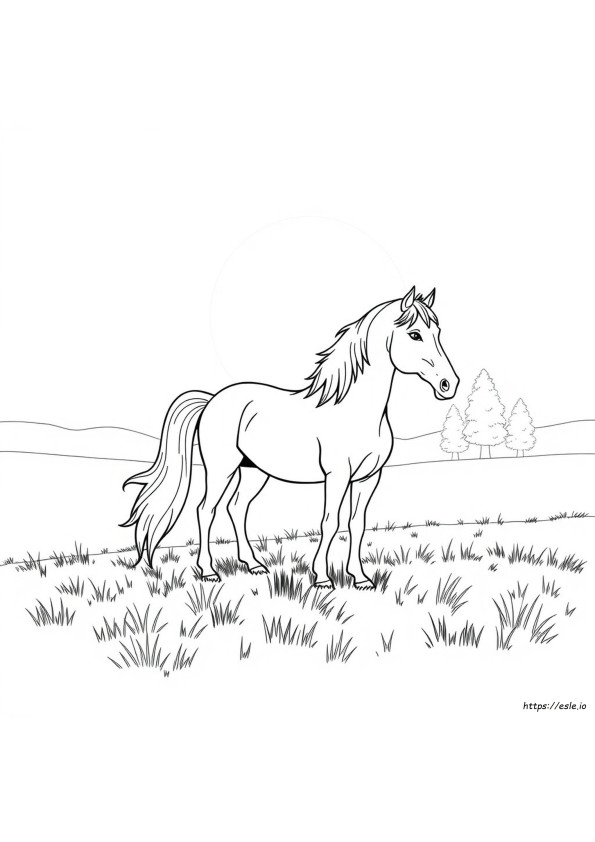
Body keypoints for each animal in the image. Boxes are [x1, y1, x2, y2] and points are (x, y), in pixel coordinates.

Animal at [122, 286, 459, 589]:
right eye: (414, 335)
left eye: (438, 332)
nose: (449, 384)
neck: (355, 410)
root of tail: (212, 400)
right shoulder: (337, 476)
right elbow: (330, 522)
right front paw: (322, 578)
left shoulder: (368, 477)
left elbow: (356, 524)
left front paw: (361, 578)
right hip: (221, 469)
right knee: (206, 510)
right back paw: (208, 572)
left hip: (254, 471)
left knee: (236, 509)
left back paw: (254, 565)